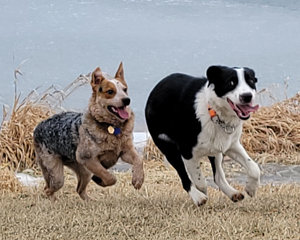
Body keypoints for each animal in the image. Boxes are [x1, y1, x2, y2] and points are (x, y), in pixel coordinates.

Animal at [34, 62, 144, 201]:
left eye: (125, 89)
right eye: (110, 92)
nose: (127, 100)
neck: (112, 127)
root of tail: (38, 126)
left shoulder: (125, 151)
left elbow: (139, 159)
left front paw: (138, 180)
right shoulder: (87, 158)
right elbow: (110, 177)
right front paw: (101, 180)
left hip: (84, 172)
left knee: (79, 189)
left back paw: (90, 201)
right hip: (56, 172)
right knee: (48, 189)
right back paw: (54, 201)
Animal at [145, 65, 260, 206]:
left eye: (251, 81)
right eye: (231, 83)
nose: (247, 96)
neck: (214, 113)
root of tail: (156, 88)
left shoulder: (231, 145)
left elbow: (254, 168)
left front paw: (251, 188)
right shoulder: (187, 153)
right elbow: (200, 181)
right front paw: (201, 196)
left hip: (216, 151)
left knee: (218, 177)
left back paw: (232, 193)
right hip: (170, 149)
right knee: (185, 178)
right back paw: (198, 197)